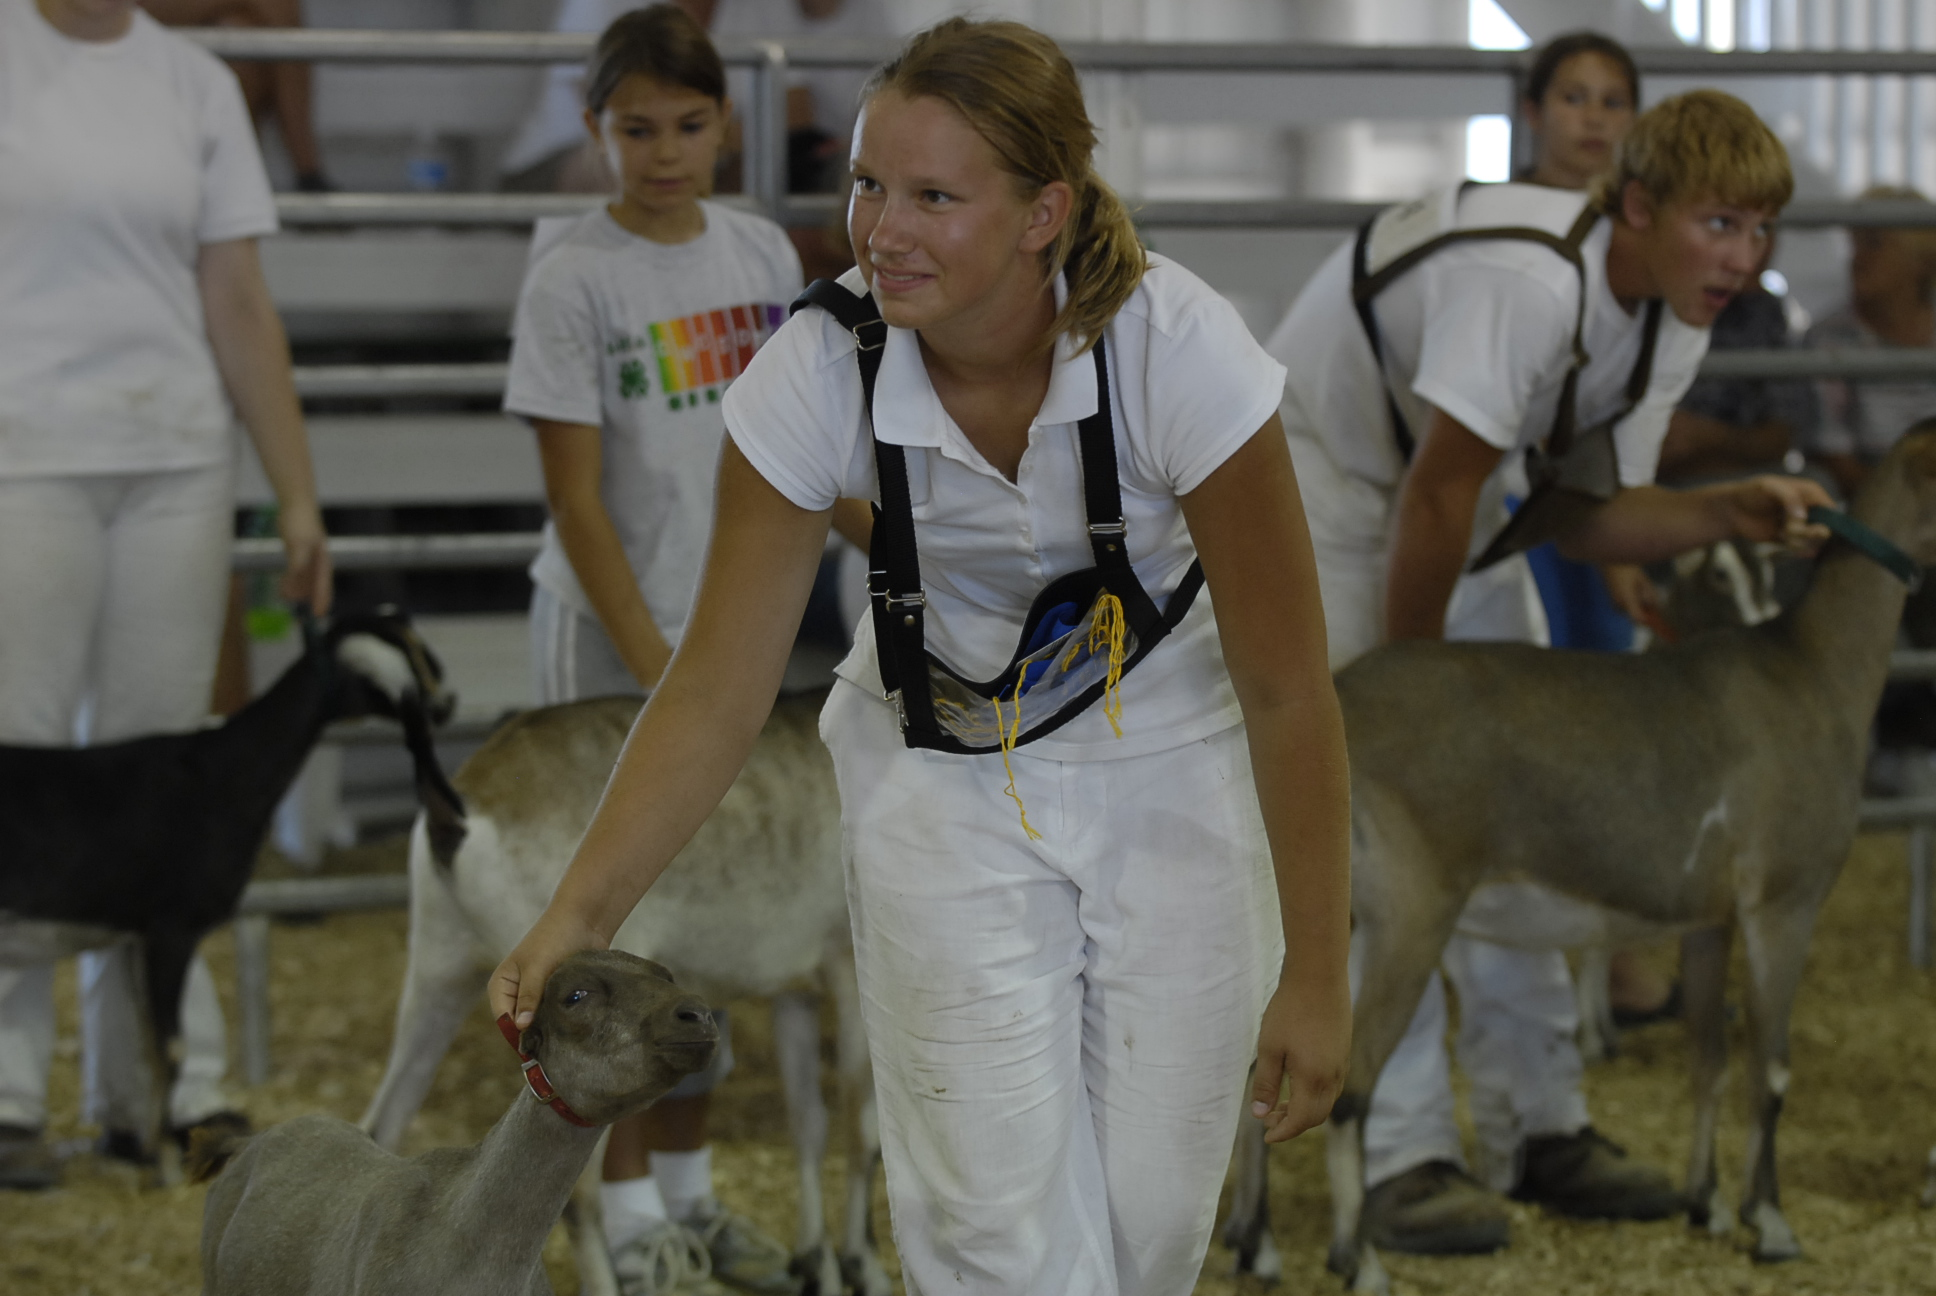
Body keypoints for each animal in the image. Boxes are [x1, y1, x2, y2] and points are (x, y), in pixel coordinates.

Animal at [0, 608, 456, 1181]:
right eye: (412, 653)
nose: (447, 703)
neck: (220, 772)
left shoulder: (134, 938)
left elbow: (147, 1044)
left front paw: (149, 1149)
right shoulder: (171, 928)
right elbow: (171, 1048)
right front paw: (169, 1168)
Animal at [358, 686, 888, 1296]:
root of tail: (460, 811)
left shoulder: (793, 990)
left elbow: (809, 1124)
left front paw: (815, 1262)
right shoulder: (849, 971)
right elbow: (862, 1130)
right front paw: (862, 1264)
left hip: (438, 969)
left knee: (380, 1124)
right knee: (579, 1196)